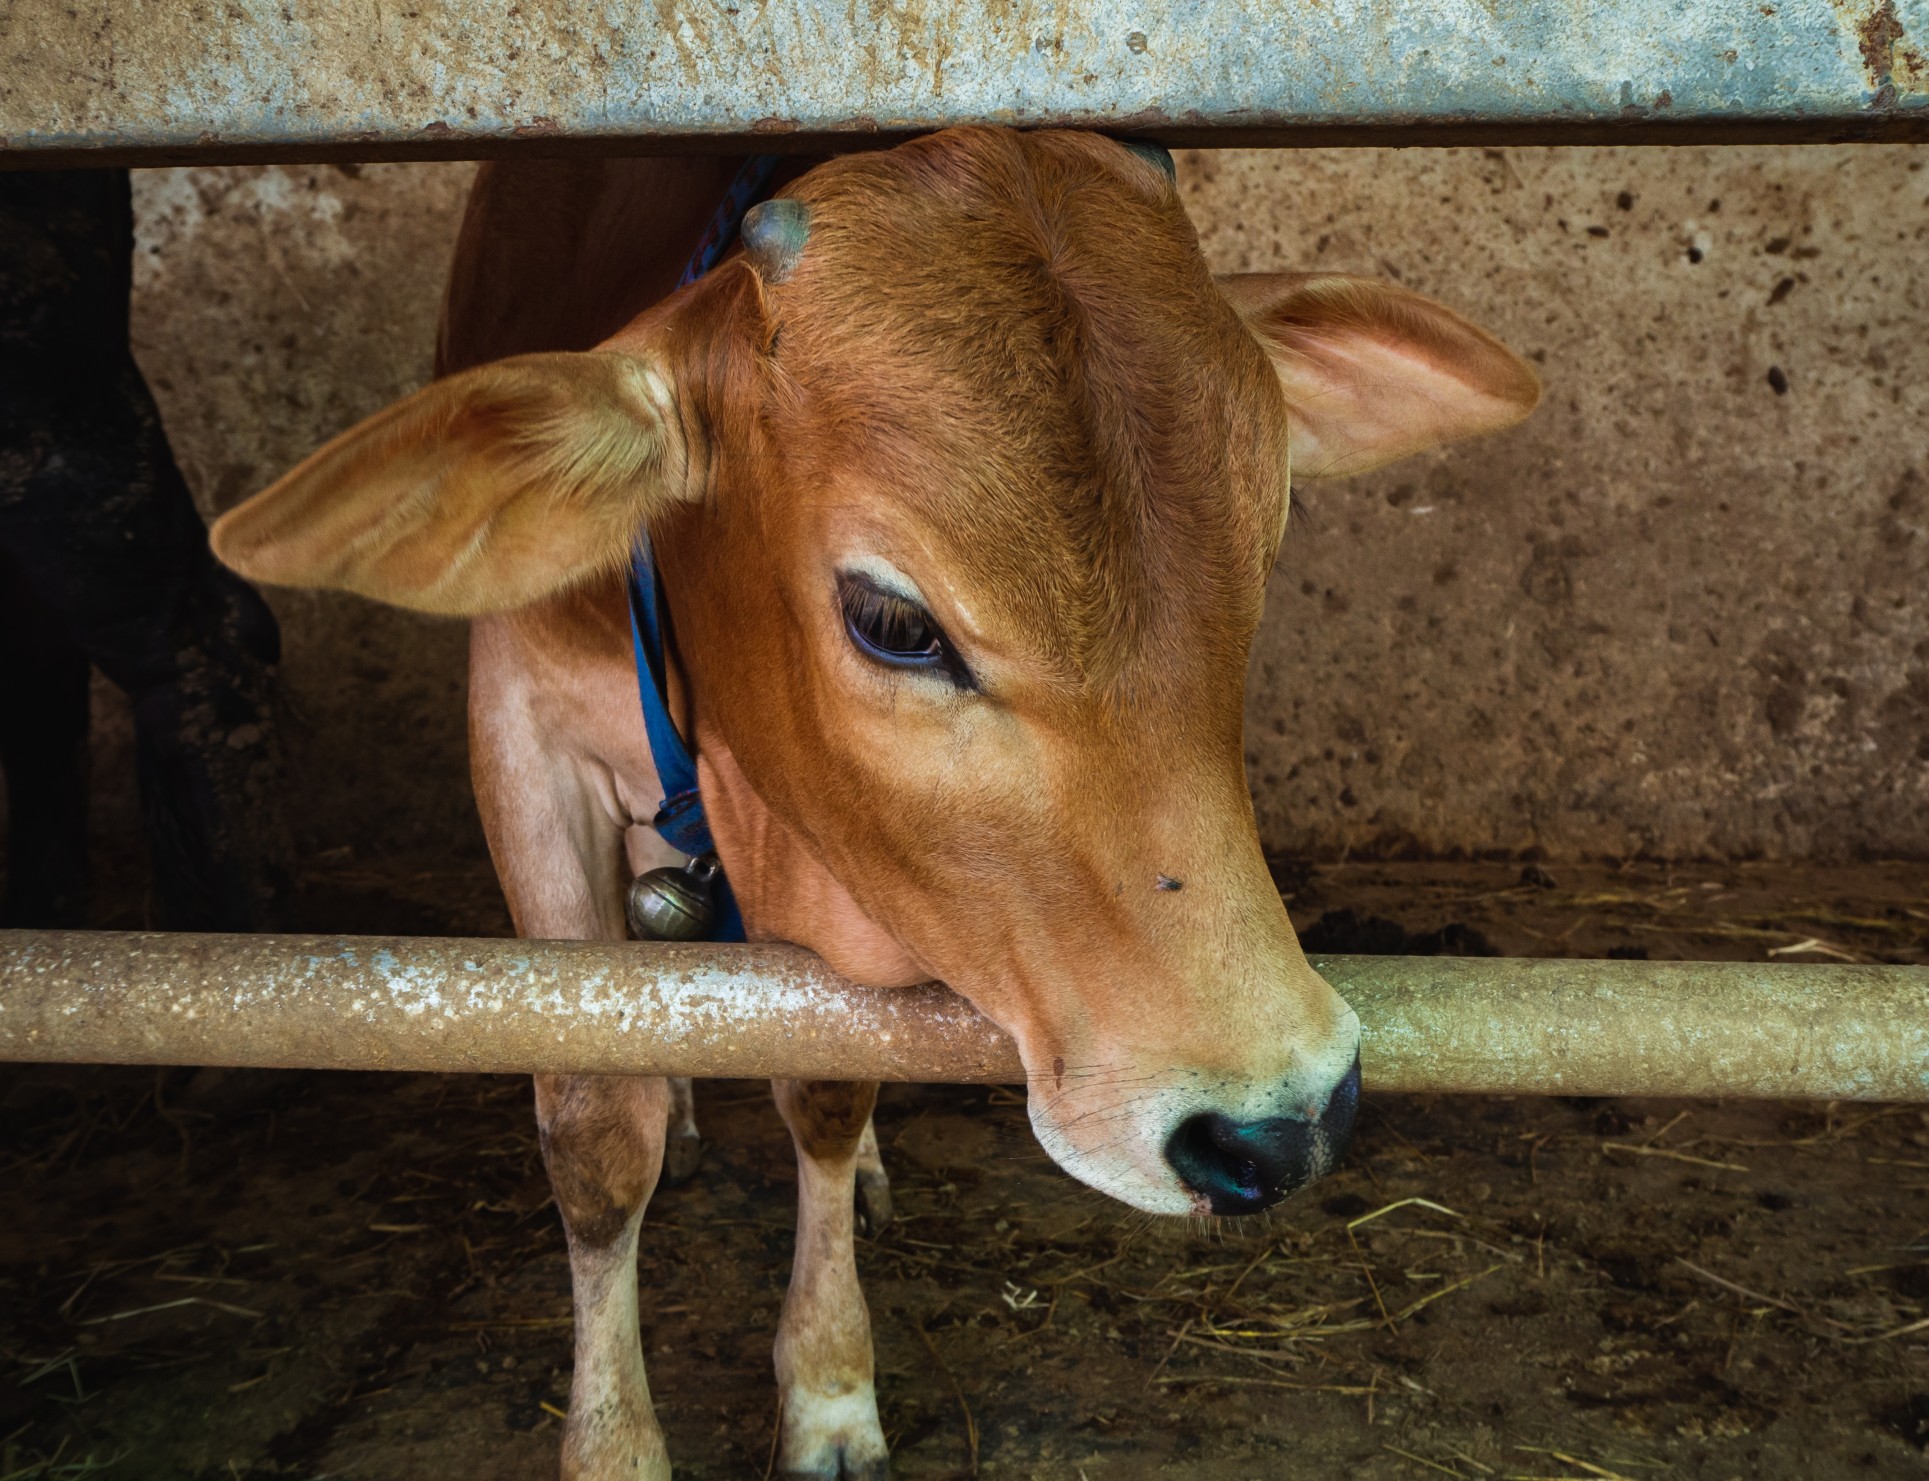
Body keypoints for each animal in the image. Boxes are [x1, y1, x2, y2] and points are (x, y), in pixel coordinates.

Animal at [215, 133, 1535, 1473]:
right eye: (895, 621)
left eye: (1266, 543)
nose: (1286, 1123)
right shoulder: (519, 729)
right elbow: (595, 1126)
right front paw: (616, 1442)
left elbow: (826, 1087)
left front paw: (830, 1387)